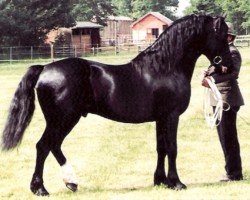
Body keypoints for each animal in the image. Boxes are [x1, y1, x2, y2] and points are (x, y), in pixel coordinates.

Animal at [1, 14, 232, 196]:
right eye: (226, 35)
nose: (228, 65)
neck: (165, 67)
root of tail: (44, 68)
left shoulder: (160, 119)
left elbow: (161, 148)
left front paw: (160, 181)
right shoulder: (171, 116)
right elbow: (172, 148)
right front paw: (176, 183)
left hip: (65, 119)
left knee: (54, 146)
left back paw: (71, 182)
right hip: (63, 119)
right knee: (44, 146)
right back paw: (40, 188)